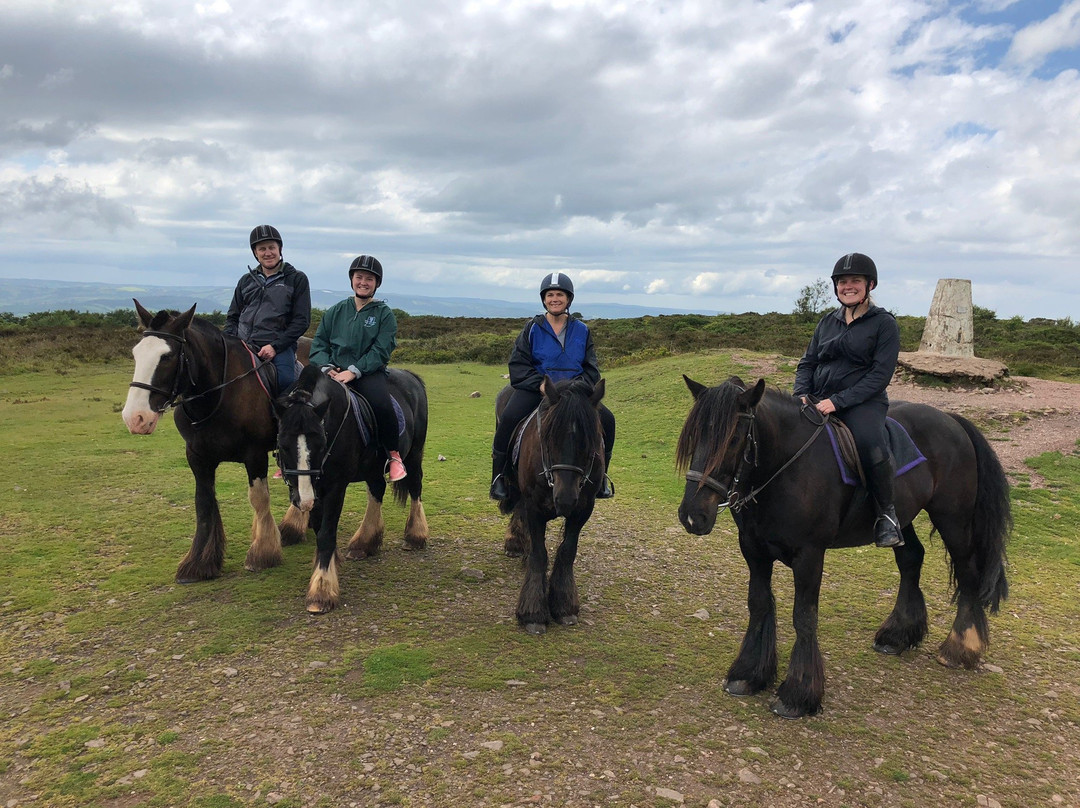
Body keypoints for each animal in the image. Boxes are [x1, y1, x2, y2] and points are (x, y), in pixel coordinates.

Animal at [123, 302, 308, 578]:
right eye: (136, 354)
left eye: (167, 357)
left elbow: (259, 498)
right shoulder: (197, 458)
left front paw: (263, 552)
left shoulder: (255, 455)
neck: (218, 394)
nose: (135, 418)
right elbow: (204, 501)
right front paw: (199, 562)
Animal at [272, 365, 427, 613]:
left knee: (415, 487)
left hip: (414, 453)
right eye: (283, 445)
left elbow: (326, 534)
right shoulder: (317, 488)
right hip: (373, 467)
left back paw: (415, 535)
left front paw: (322, 590)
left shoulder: (336, 487)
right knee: (377, 490)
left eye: (321, 444)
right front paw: (328, 566)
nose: (303, 500)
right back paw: (364, 542)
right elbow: (319, 528)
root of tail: (410, 375)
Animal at [496, 375, 609, 635]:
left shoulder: (583, 509)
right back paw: (515, 544)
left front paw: (565, 606)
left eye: (591, 444)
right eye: (548, 439)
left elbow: (567, 551)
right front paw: (532, 613)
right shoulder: (535, 507)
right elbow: (539, 553)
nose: (565, 499)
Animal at [673, 375, 1010, 717]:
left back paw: (961, 647)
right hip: (901, 519)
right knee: (911, 560)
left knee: (968, 573)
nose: (693, 515)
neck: (786, 468)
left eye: (734, 439)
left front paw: (798, 694)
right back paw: (898, 635)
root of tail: (951, 420)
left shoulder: (809, 556)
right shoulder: (753, 550)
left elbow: (804, 616)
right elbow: (758, 604)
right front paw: (749, 674)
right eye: (694, 437)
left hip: (953, 519)